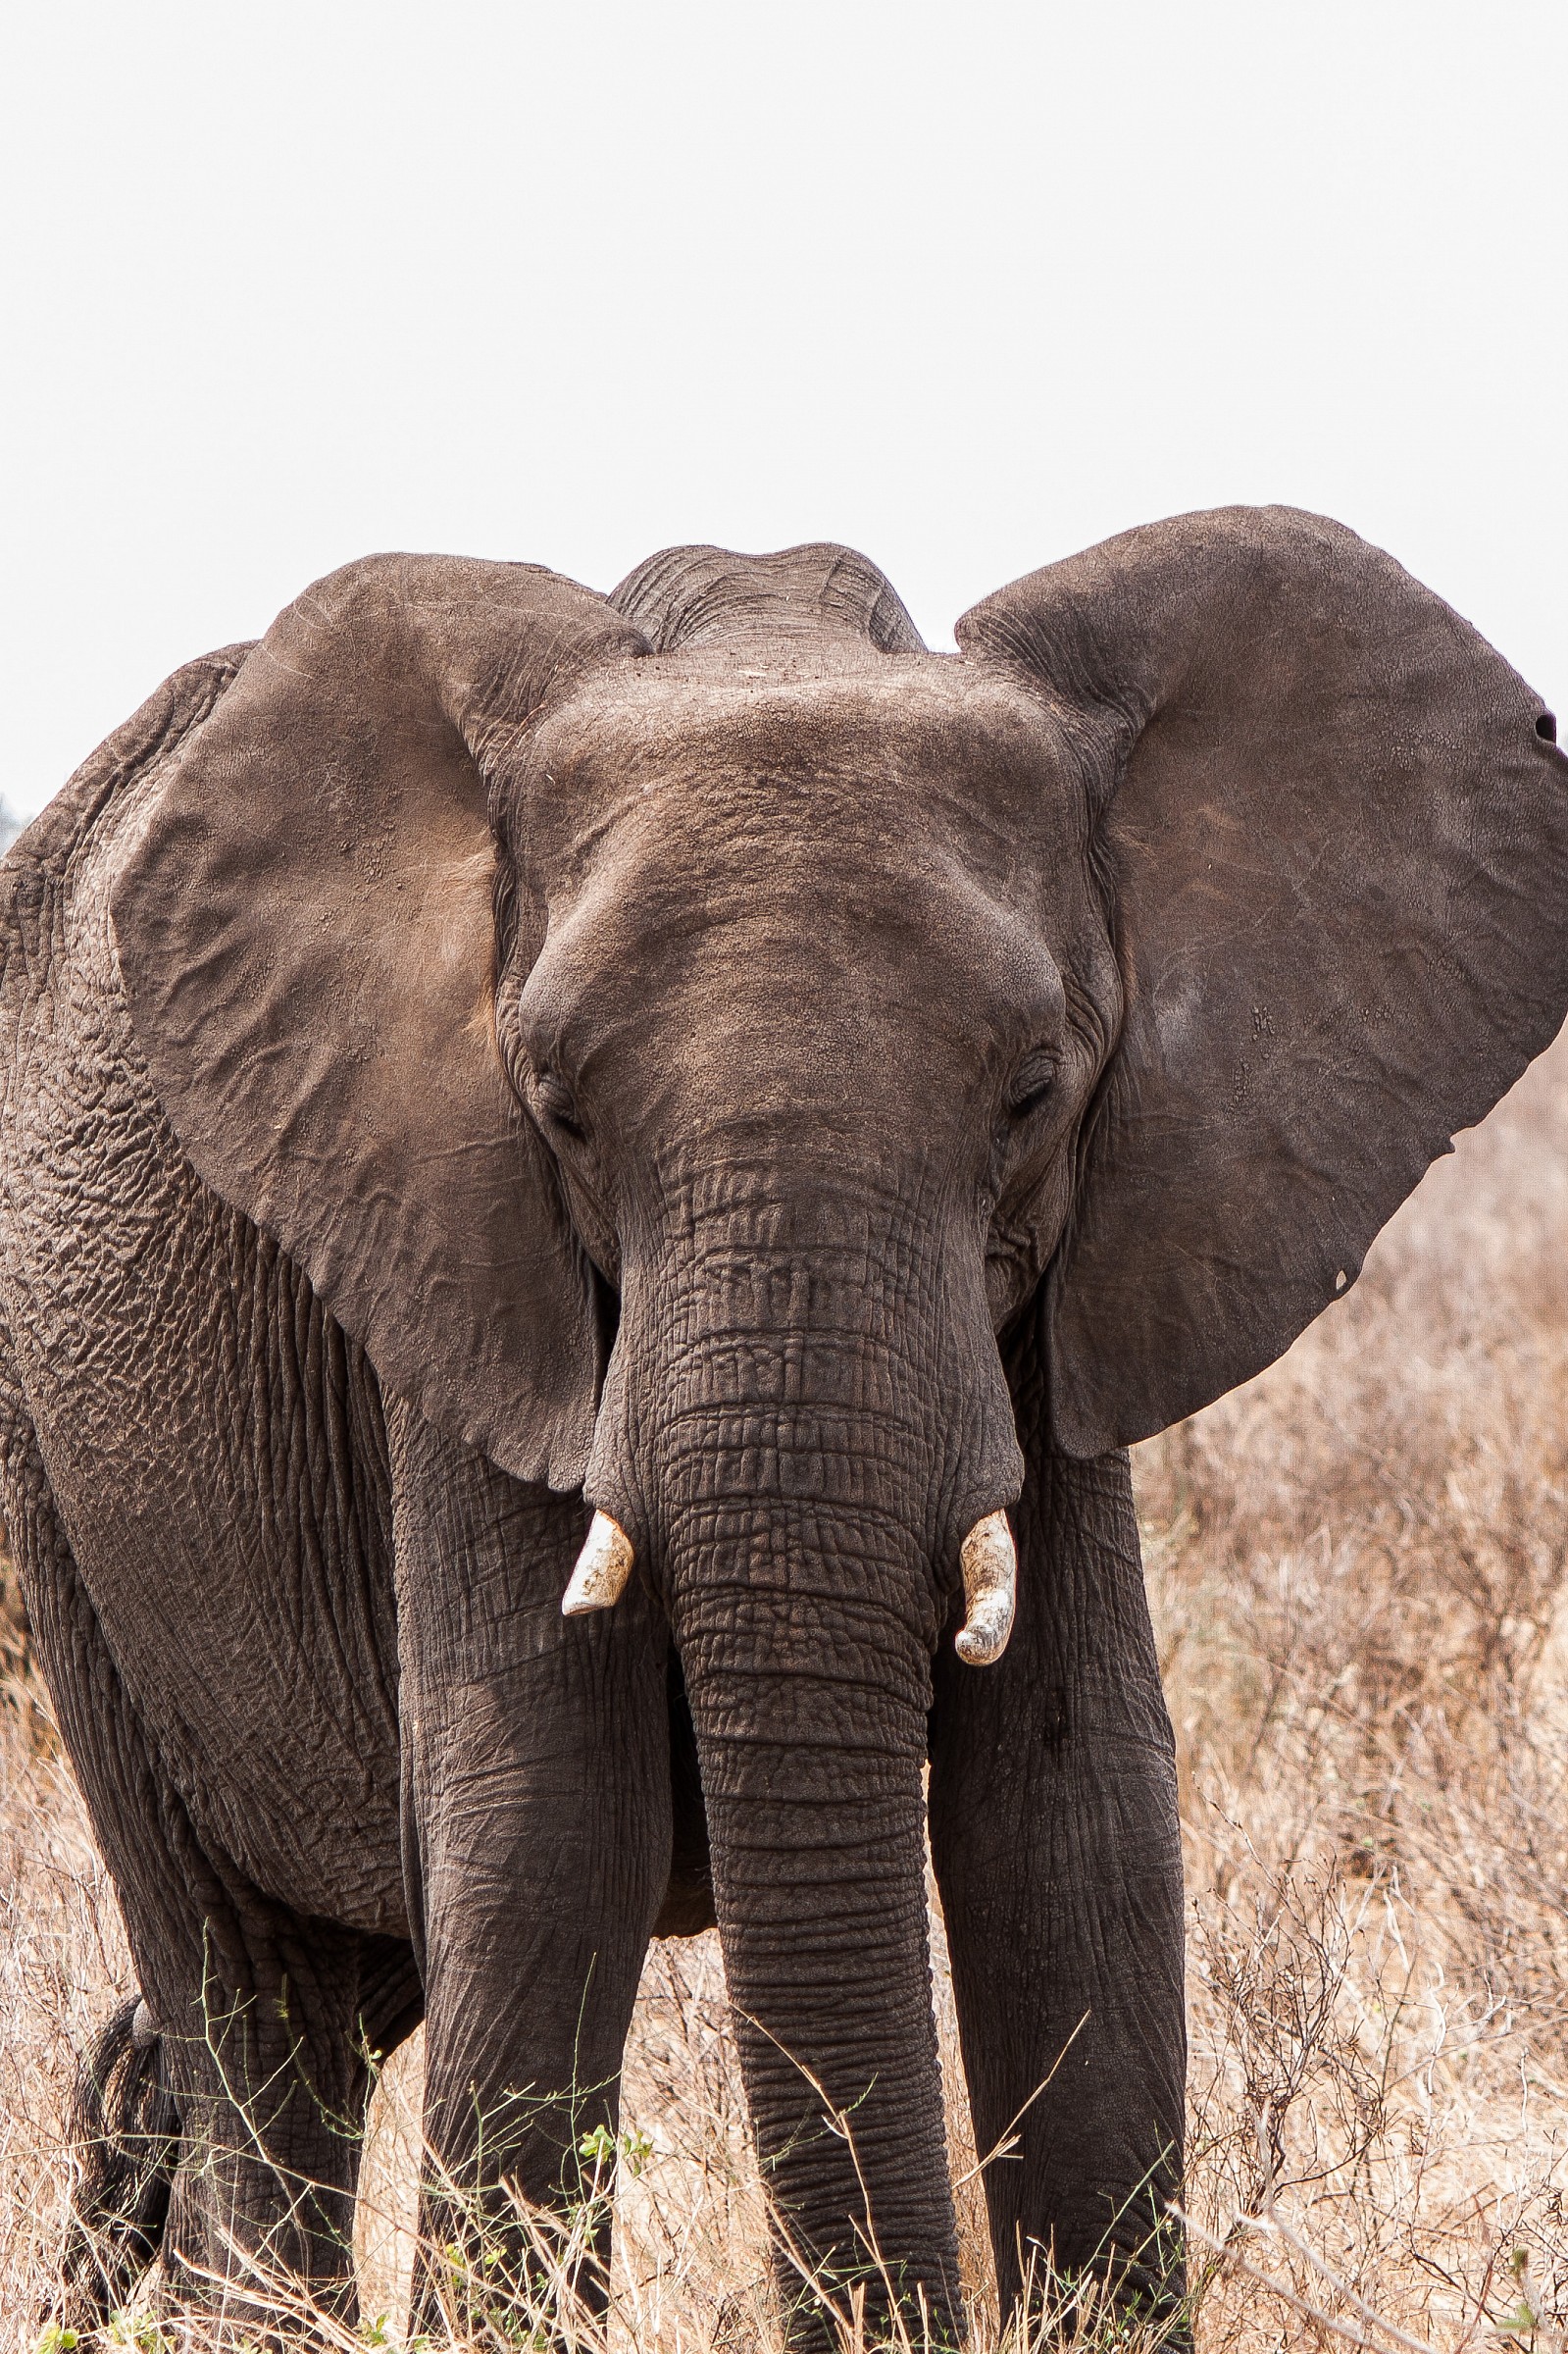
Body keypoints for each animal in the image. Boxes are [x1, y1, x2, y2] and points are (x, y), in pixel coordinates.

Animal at [2, 508, 1565, 2345]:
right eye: (559, 1110)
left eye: (1031, 1093)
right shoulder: (445, 1238)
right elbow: (548, 1825)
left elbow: (1073, 1820)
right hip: (56, 1459)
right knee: (256, 1993)